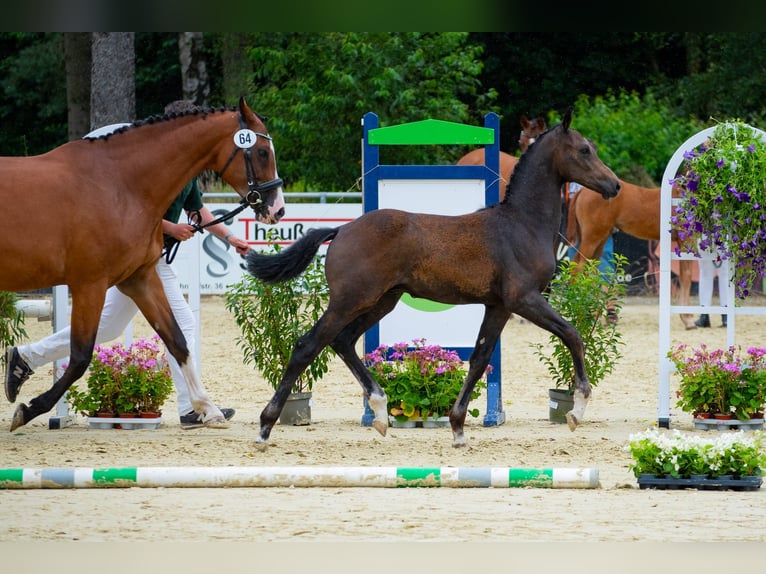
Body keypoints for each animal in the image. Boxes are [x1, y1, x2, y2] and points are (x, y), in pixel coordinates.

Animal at [1, 98, 286, 432]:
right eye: (262, 152)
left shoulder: (140, 279)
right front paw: (29, 410)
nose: (278, 210)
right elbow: (81, 356)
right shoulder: (89, 285)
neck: (120, 183)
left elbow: (178, 341)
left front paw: (207, 408)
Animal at [249, 109, 620, 450]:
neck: (521, 225)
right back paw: (265, 428)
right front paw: (577, 410)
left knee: (343, 342)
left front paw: (457, 428)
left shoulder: (498, 306)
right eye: (584, 150)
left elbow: (479, 359)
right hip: (349, 300)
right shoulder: (525, 299)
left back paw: (380, 412)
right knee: (308, 346)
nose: (614, 185)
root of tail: (342, 230)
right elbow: (572, 334)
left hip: (382, 300)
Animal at [560, 178, 700, 330]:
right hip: (592, 237)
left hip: (601, 239)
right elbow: (686, 277)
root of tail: (581, 191)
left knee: (590, 270)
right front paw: (688, 320)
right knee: (579, 267)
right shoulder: (686, 241)